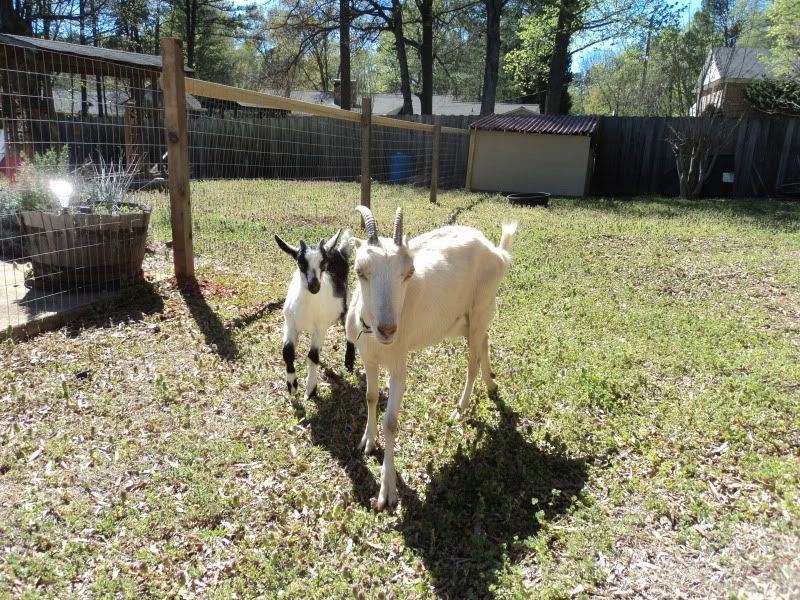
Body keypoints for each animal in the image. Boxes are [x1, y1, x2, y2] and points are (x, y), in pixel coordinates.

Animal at [276, 229, 356, 399]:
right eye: (300, 264)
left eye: (323, 264)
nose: (314, 286)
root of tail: (340, 251)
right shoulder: (290, 324)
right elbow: (287, 352)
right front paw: (292, 385)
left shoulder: (320, 329)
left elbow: (312, 357)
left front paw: (311, 389)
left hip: (347, 304)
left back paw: (349, 363)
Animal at [345, 206, 516, 509]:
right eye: (359, 271)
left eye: (408, 273)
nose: (387, 329)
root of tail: (497, 252)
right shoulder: (369, 358)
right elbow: (370, 397)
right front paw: (367, 441)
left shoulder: (398, 365)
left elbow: (391, 422)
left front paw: (387, 492)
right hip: (467, 319)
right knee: (484, 340)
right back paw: (492, 385)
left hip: (481, 307)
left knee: (473, 361)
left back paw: (460, 409)